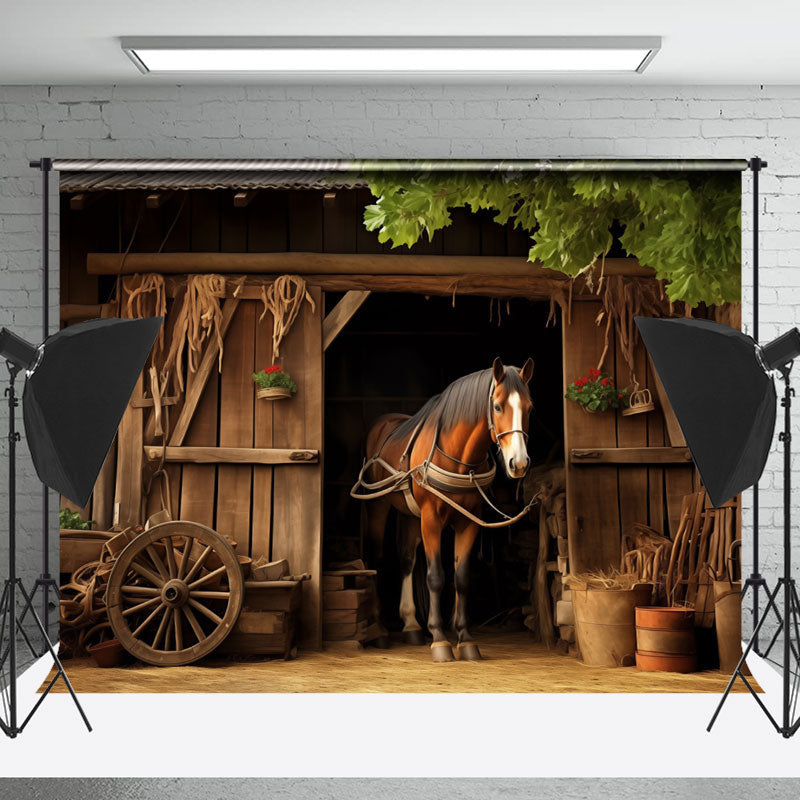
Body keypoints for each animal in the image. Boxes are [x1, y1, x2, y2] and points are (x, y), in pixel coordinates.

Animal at [359, 357, 534, 662]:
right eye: (498, 406)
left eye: (529, 407)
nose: (519, 463)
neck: (460, 459)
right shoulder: (431, 520)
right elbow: (436, 577)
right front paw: (440, 639)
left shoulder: (469, 523)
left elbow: (461, 578)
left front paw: (465, 639)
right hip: (378, 506)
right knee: (377, 559)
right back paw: (380, 630)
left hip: (409, 514)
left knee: (406, 559)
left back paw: (411, 625)